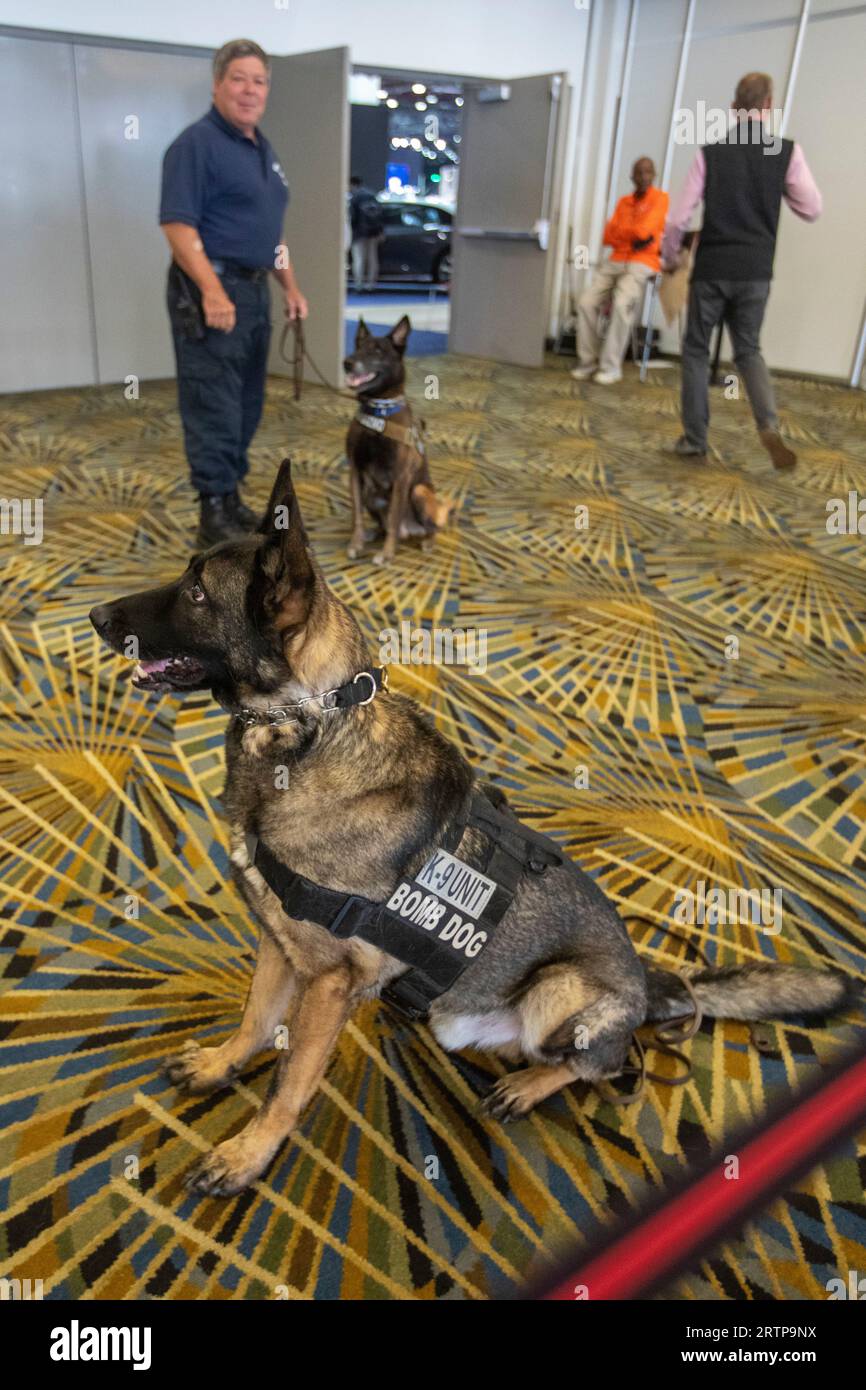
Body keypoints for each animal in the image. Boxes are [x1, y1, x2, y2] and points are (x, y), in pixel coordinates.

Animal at [88, 458, 861, 1195]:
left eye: (196, 593)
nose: (95, 615)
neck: (311, 729)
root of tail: (652, 986)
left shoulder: (328, 986)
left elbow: (288, 1084)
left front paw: (248, 1155)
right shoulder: (279, 946)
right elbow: (254, 1021)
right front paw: (222, 1067)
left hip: (560, 992)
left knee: (599, 1064)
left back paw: (529, 1086)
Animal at [341, 315, 450, 564]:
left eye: (377, 350)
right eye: (358, 347)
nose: (347, 363)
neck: (379, 411)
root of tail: (410, 531)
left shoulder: (401, 477)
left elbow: (393, 519)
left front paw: (387, 553)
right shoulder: (355, 472)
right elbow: (356, 515)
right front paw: (356, 543)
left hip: (419, 491)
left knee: (430, 527)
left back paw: (427, 541)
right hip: (370, 494)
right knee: (383, 524)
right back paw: (372, 533)